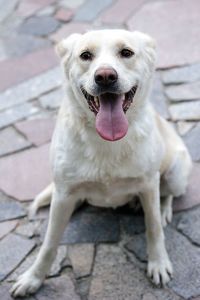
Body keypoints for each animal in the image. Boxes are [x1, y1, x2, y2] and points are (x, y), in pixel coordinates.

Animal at [10, 29, 192, 296]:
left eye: (126, 52)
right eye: (86, 55)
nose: (105, 76)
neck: (106, 142)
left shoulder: (149, 184)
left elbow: (154, 228)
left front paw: (158, 263)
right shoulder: (62, 194)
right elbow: (49, 243)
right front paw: (33, 278)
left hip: (175, 173)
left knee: (167, 194)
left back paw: (164, 208)